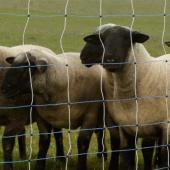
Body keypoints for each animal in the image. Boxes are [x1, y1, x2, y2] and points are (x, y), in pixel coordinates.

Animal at [79, 23, 170, 170]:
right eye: (102, 39)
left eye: (128, 39)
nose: (110, 60)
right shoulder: (124, 128)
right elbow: (125, 159)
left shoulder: (165, 127)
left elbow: (162, 159)